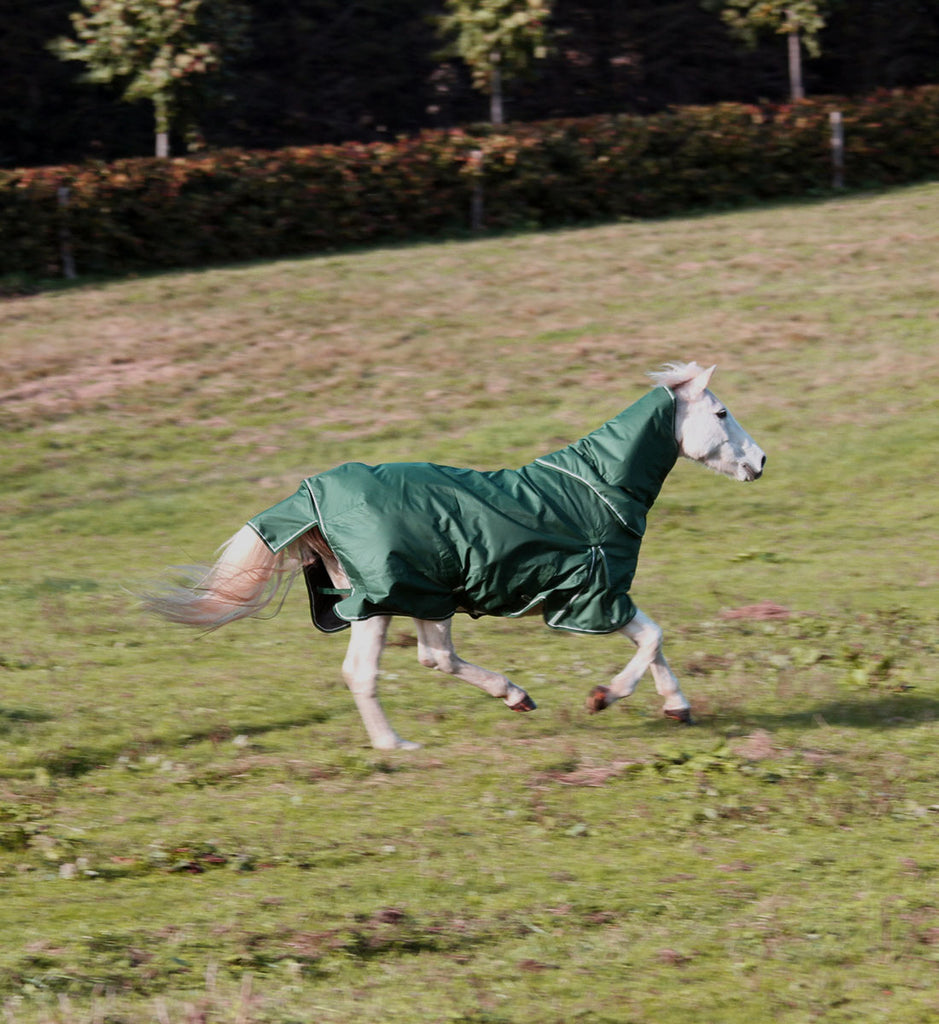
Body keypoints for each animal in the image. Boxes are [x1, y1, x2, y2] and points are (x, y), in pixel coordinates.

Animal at [144, 364, 761, 749]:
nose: (760, 462)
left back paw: (456, 720)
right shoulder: (592, 594)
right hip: (402, 595)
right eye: (722, 413)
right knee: (404, 664)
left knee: (402, 663)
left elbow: (653, 638)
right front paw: (603, 697)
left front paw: (676, 707)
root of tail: (310, 497)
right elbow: (652, 636)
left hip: (400, 597)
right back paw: (441, 727)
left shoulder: (599, 595)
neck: (596, 489)